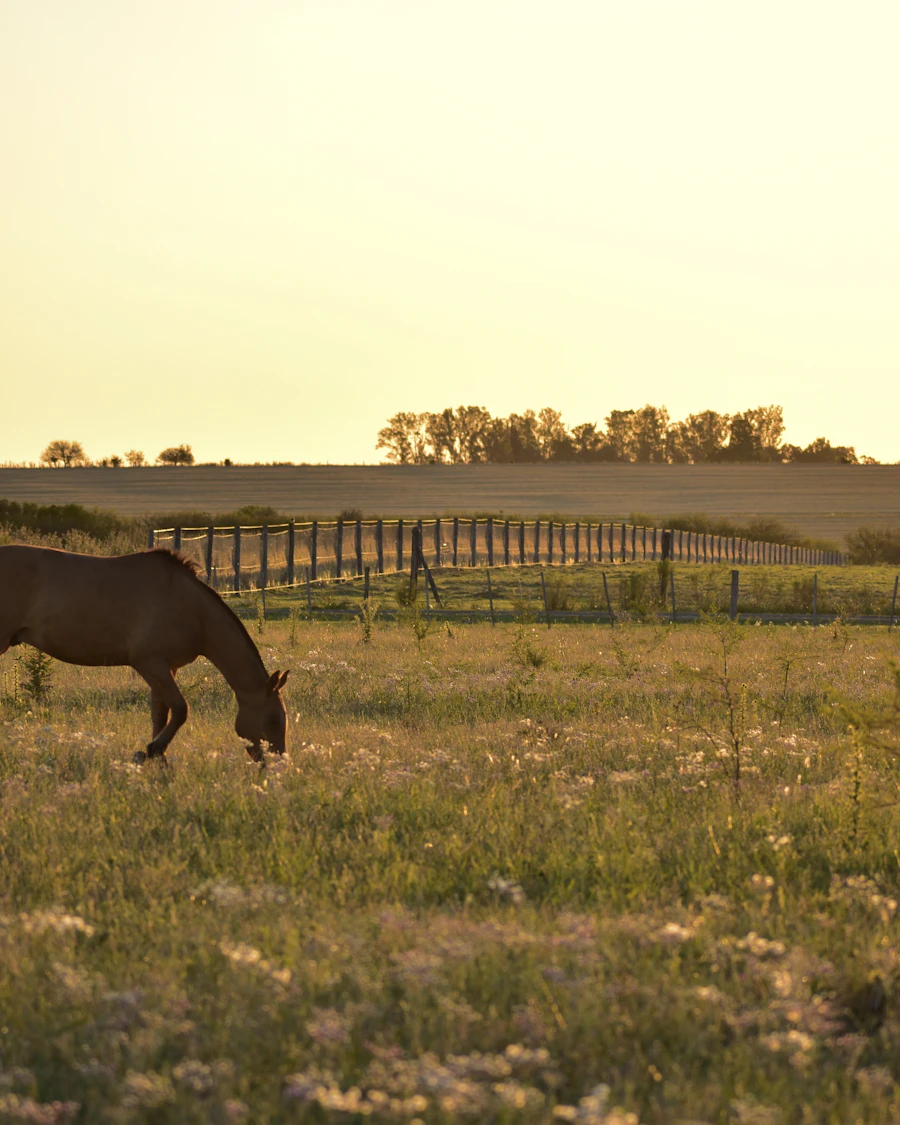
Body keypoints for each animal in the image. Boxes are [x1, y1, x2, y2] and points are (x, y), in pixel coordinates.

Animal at [0, 544, 289, 763]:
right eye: (274, 720)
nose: (277, 762)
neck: (194, 611)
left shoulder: (166, 668)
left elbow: (161, 715)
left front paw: (157, 757)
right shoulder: (149, 664)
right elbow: (180, 710)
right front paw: (152, 750)